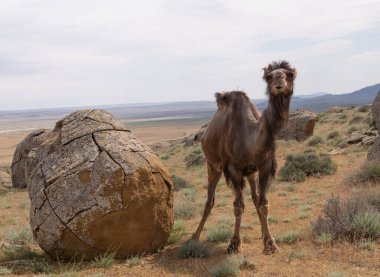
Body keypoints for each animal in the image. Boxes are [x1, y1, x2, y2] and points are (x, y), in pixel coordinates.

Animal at [191, 60, 296, 254]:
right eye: (269, 76)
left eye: (289, 74)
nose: (278, 81)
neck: (250, 137)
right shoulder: (233, 169)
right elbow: (238, 206)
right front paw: (234, 243)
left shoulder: (264, 167)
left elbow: (263, 203)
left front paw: (270, 242)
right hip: (212, 165)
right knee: (210, 200)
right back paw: (194, 236)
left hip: (250, 173)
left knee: (254, 198)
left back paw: (262, 232)